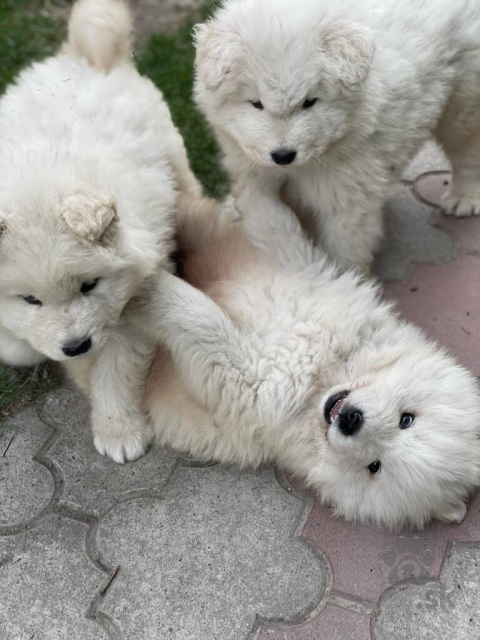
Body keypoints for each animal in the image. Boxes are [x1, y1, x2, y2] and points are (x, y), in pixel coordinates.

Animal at [0, 0, 201, 462]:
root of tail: (87, 55)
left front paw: (118, 432)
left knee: (185, 179)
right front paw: (22, 347)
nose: (75, 347)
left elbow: (116, 373)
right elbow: (15, 337)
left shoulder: (127, 310)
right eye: (31, 298)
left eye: (89, 285)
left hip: (169, 144)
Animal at [193, 0, 480, 270]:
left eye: (309, 102)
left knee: (467, 148)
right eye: (256, 103)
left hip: (462, 102)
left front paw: (346, 278)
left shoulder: (346, 193)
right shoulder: (253, 168)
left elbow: (344, 246)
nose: (283, 155)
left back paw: (463, 197)